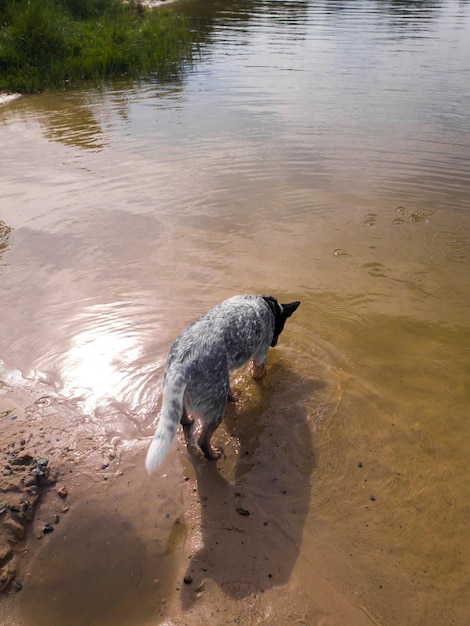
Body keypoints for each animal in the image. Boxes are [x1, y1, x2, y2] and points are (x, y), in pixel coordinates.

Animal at [145, 294, 302, 470]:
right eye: (280, 327)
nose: (274, 344)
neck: (269, 306)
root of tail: (180, 368)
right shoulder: (261, 355)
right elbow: (259, 373)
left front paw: (233, 395)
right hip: (215, 409)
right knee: (202, 441)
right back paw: (213, 455)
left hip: (186, 397)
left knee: (184, 419)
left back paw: (190, 421)